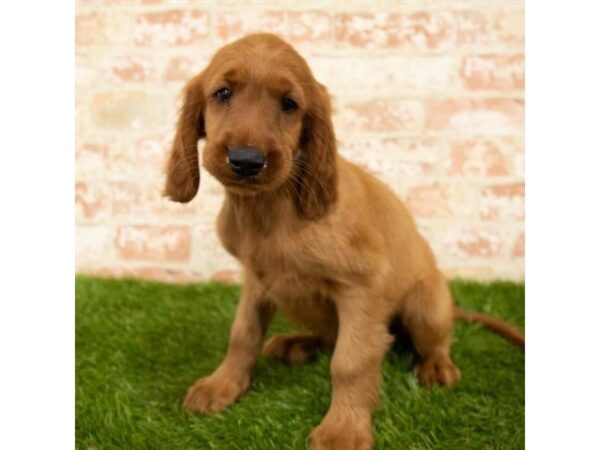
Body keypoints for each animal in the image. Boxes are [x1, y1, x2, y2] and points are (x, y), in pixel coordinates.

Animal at [164, 33, 524, 448]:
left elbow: (350, 362)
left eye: (289, 104)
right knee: (328, 335)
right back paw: (298, 343)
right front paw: (222, 385)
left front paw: (343, 430)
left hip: (426, 306)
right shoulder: (256, 279)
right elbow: (243, 334)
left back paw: (435, 365)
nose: (246, 161)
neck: (270, 210)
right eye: (222, 93)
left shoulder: (363, 288)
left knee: (430, 341)